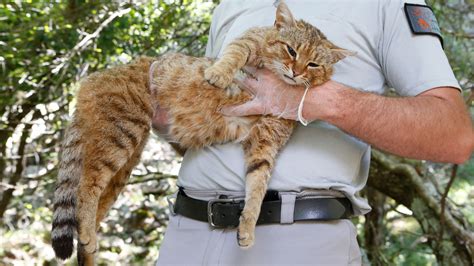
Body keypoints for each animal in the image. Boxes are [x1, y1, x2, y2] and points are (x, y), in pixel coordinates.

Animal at [51, 1, 352, 264]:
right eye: (291, 50)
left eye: (313, 65)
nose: (296, 71)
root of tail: (93, 79)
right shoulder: (249, 40)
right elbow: (234, 54)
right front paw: (218, 74)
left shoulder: (265, 141)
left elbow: (257, 185)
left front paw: (248, 226)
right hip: (121, 133)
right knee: (86, 186)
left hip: (124, 161)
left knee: (90, 205)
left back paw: (89, 245)